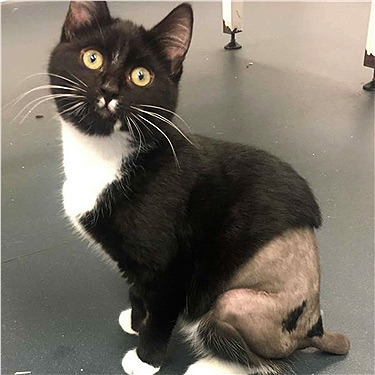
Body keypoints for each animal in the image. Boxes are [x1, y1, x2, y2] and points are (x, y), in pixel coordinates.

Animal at [48, 1, 352, 374]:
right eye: (92, 59)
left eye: (140, 76)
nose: (108, 90)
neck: (104, 158)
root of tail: (316, 329)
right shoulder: (134, 264)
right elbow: (137, 292)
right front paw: (135, 322)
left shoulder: (172, 268)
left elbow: (161, 315)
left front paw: (146, 359)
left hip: (231, 301)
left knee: (265, 361)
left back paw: (208, 365)